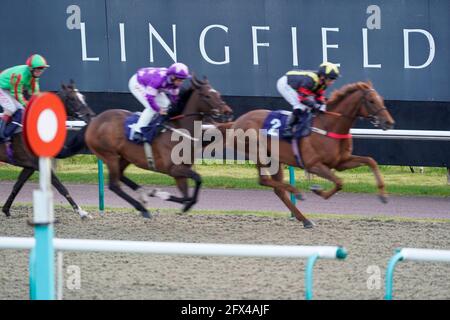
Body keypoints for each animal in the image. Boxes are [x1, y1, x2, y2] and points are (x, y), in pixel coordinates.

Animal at [0, 81, 96, 219]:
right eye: (72, 98)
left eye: (83, 97)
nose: (90, 116)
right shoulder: (38, 164)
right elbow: (61, 187)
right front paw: (82, 212)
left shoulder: (30, 166)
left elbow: (18, 185)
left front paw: (6, 210)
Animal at [85, 76, 234, 219]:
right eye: (207, 96)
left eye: (218, 94)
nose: (227, 112)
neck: (179, 129)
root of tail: (94, 122)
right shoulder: (174, 169)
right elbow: (197, 181)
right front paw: (163, 195)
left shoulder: (181, 172)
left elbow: (187, 195)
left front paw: (159, 194)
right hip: (109, 156)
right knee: (114, 185)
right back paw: (143, 208)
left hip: (124, 157)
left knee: (120, 176)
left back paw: (144, 194)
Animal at [229, 81, 394, 229]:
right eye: (371, 101)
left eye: (381, 99)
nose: (389, 122)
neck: (330, 125)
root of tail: (237, 122)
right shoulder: (313, 165)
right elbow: (339, 182)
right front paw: (317, 190)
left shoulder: (341, 162)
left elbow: (370, 161)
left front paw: (383, 195)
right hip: (260, 154)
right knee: (263, 180)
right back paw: (297, 193)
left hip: (275, 159)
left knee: (278, 189)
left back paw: (305, 219)